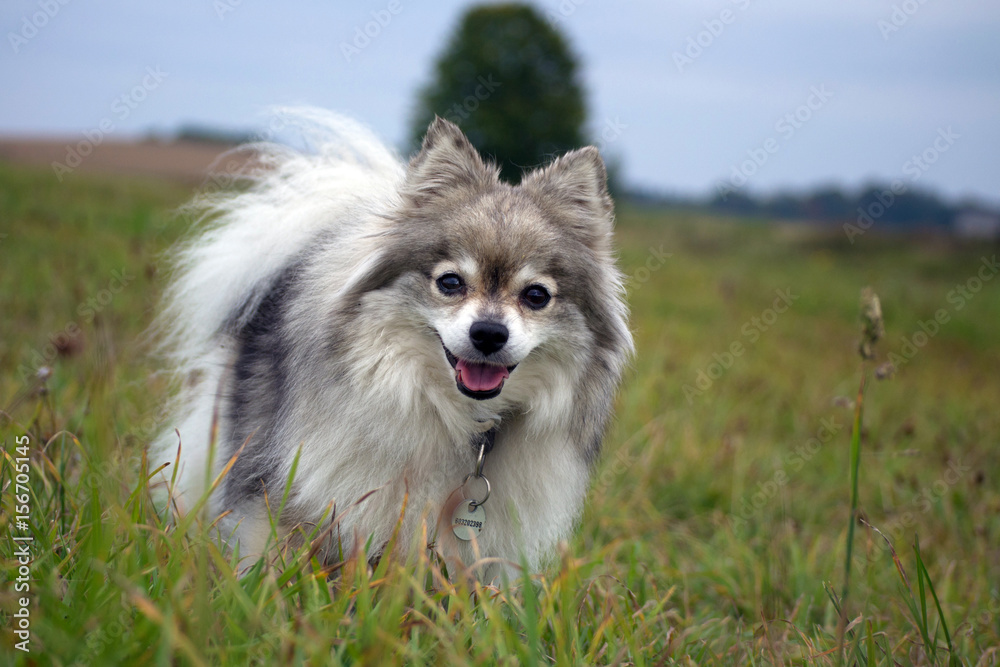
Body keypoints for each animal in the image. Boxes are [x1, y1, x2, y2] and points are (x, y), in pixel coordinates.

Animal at [152, 108, 628, 580]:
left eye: (536, 295)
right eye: (450, 282)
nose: (489, 333)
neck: (459, 417)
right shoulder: (288, 487)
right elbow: (272, 554)